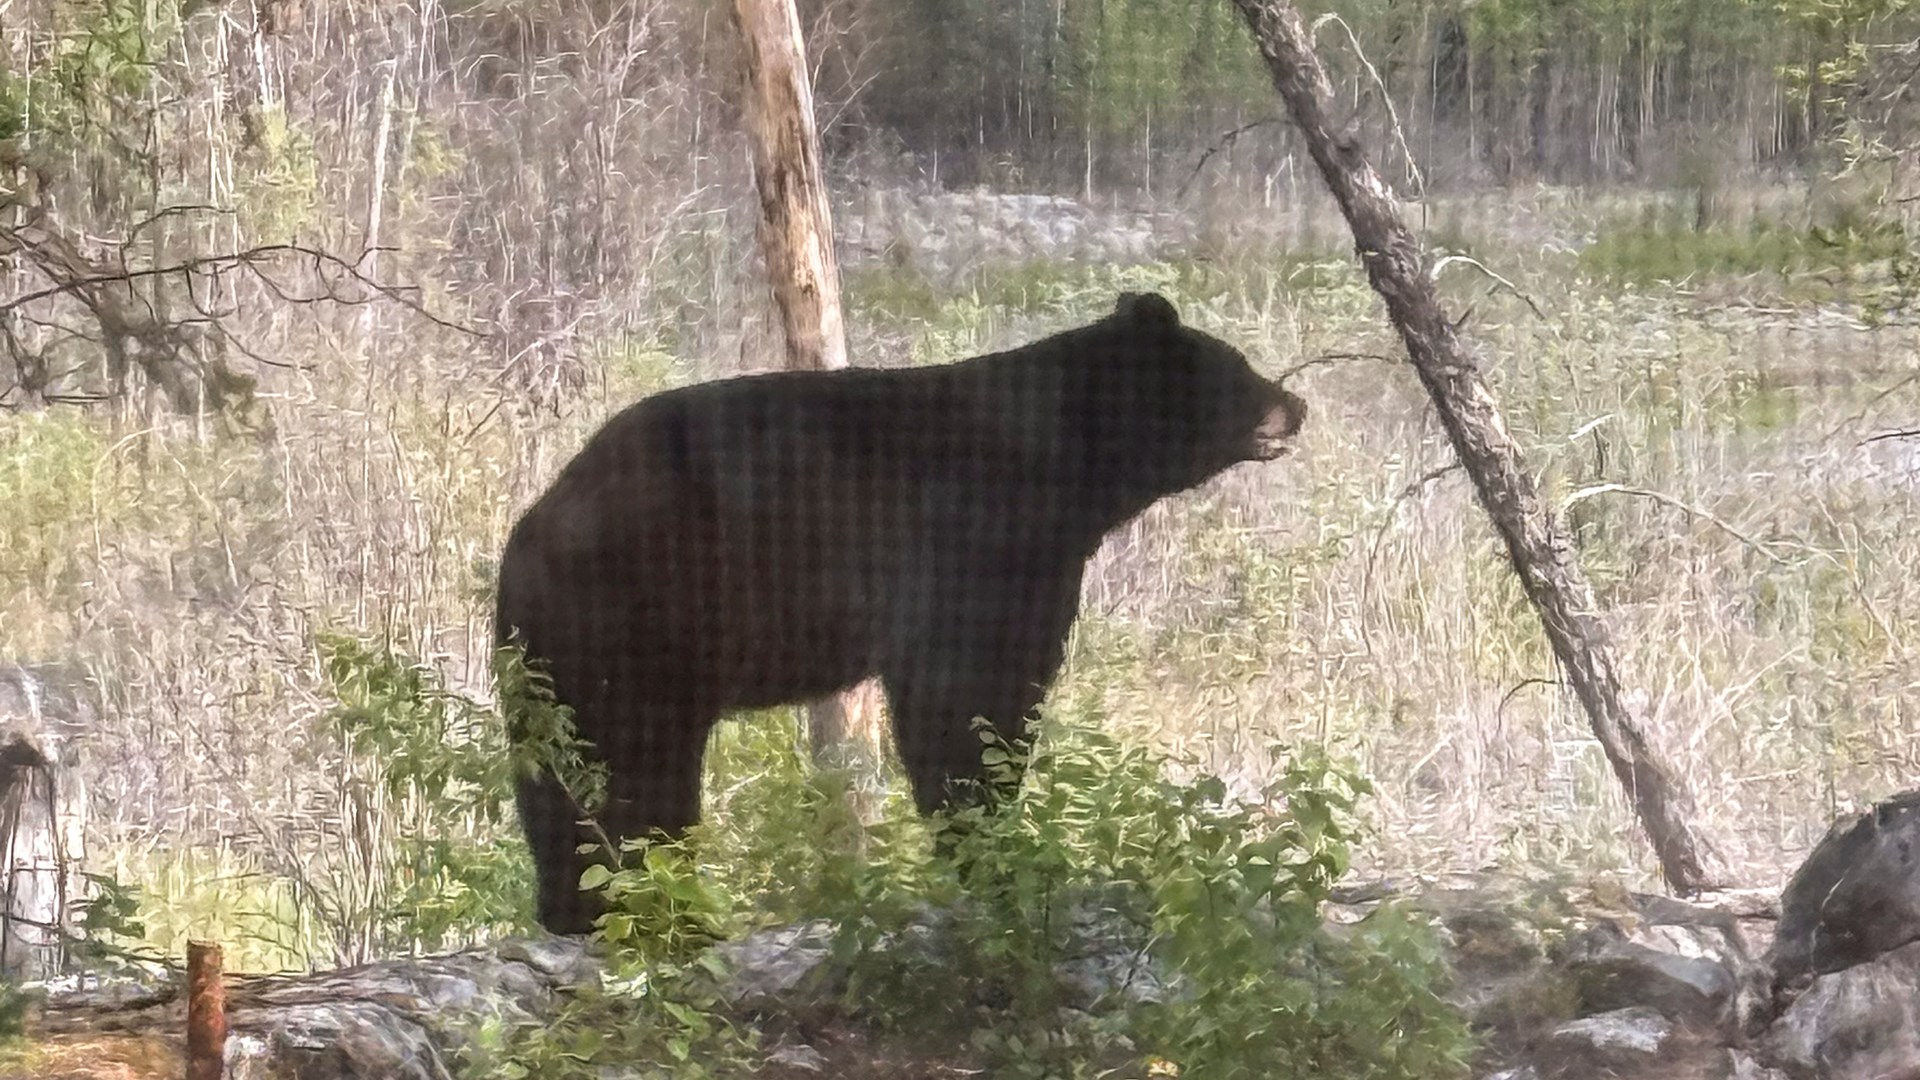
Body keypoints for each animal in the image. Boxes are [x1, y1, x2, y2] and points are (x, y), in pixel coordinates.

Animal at [495, 291, 1306, 935]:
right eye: (1240, 367)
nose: (1297, 407)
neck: (1071, 465)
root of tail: (528, 531)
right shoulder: (973, 533)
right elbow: (964, 688)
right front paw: (987, 842)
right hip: (626, 621)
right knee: (612, 762)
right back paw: (619, 905)